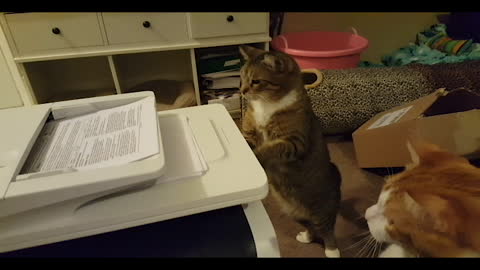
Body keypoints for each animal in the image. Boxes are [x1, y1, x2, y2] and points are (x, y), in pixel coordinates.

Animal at [239, 44, 342, 258]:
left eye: (256, 81)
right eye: (241, 77)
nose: (241, 91)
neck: (266, 104)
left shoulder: (294, 142)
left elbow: (270, 148)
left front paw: (257, 155)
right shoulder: (250, 133)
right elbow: (247, 140)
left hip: (322, 211)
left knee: (327, 230)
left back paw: (332, 251)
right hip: (293, 213)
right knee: (311, 227)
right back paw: (306, 237)